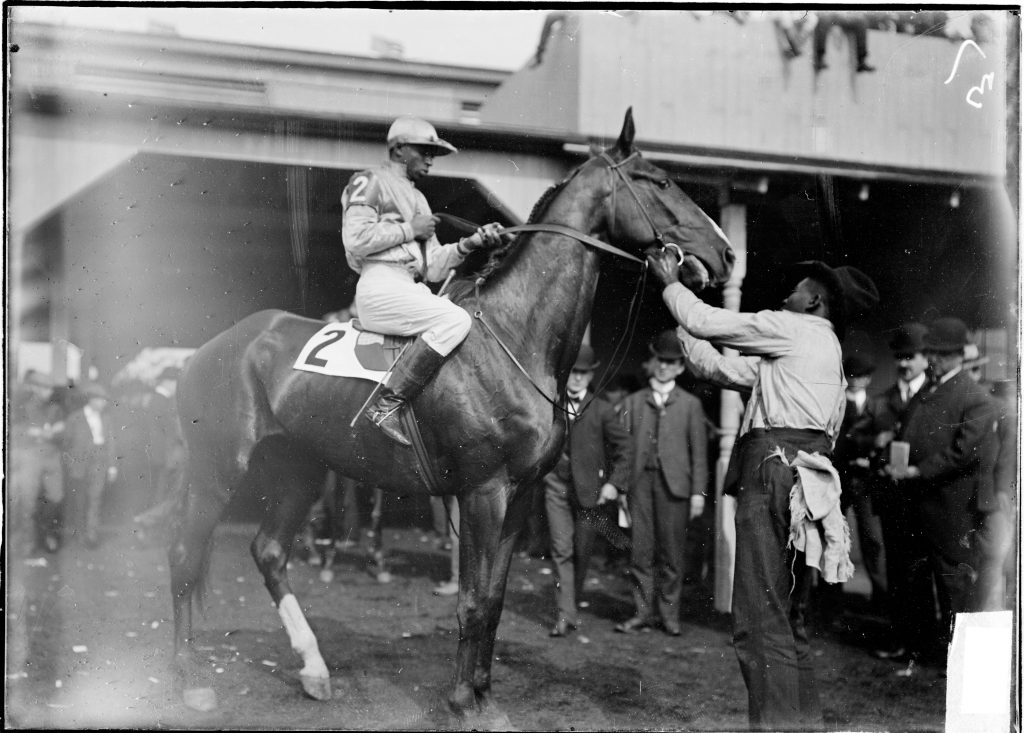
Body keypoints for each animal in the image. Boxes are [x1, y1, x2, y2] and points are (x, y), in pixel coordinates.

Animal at [167, 107, 733, 720]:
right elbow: (473, 600)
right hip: (217, 470)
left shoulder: (520, 494)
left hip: (300, 469)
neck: (515, 335)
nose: (727, 255)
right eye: (660, 181)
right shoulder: (484, 491)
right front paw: (465, 702)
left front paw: (484, 695)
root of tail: (212, 347)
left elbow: (495, 598)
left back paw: (314, 670)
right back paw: (188, 678)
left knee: (269, 552)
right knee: (184, 555)